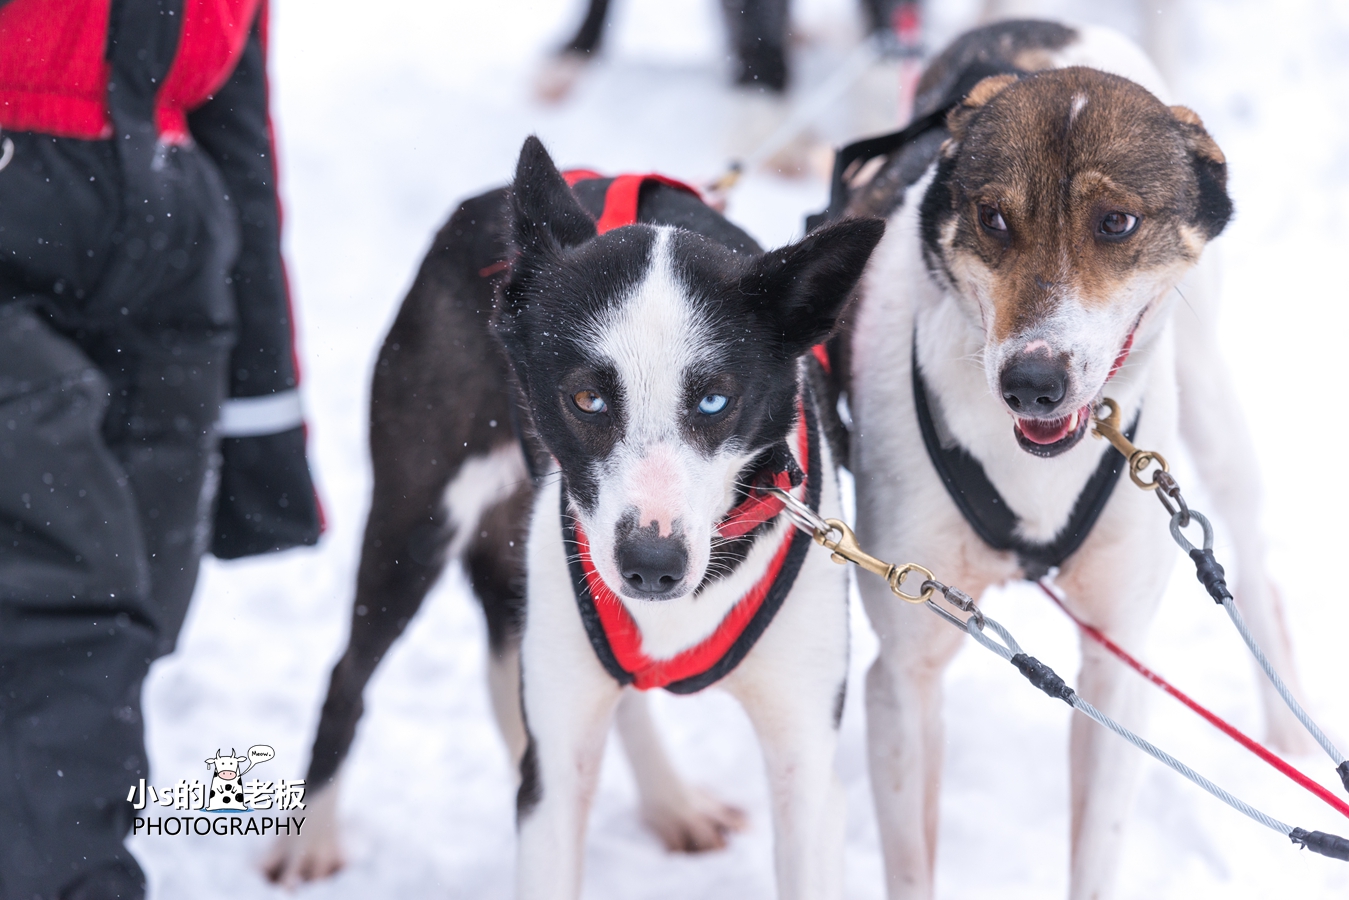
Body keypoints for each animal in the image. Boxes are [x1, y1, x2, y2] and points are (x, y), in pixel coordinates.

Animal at [265, 138, 884, 895]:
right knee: (348, 676)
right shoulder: (551, 781)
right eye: (587, 399)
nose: (651, 567)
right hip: (412, 527)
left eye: (714, 401)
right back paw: (311, 838)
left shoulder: (806, 765)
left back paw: (671, 802)